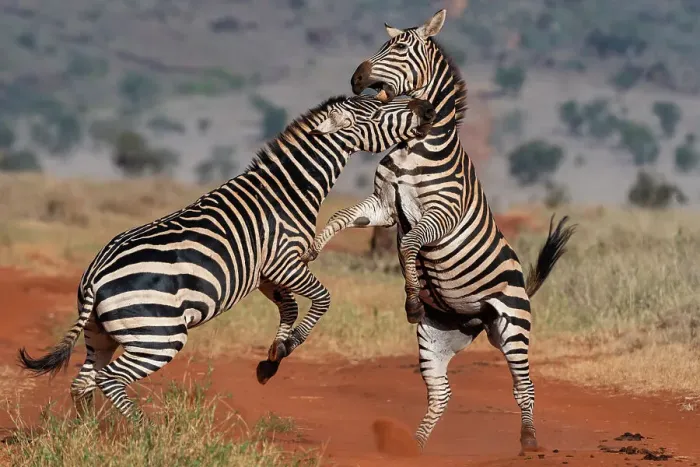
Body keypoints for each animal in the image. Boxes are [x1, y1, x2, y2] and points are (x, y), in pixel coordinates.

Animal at [17, 94, 436, 421]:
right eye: (379, 108)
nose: (427, 107)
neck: (288, 190)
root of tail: (95, 276)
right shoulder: (285, 261)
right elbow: (322, 299)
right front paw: (289, 345)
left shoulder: (265, 274)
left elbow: (289, 307)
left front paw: (273, 357)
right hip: (158, 336)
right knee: (110, 379)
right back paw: (143, 431)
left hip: (101, 334)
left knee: (83, 381)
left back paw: (91, 433)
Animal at [301, 10, 576, 454]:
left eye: (399, 47)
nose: (356, 78)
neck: (413, 146)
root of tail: (476, 319)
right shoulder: (383, 206)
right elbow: (342, 216)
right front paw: (312, 247)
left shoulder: (441, 214)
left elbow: (410, 243)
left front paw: (413, 297)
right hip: (435, 339)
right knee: (441, 392)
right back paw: (412, 446)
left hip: (514, 327)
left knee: (524, 387)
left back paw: (529, 441)